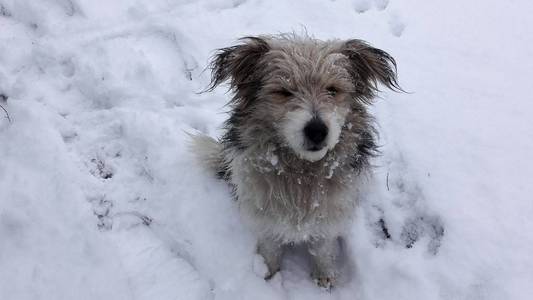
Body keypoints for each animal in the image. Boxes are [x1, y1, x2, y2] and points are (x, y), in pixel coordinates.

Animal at [191, 33, 400, 288]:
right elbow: (270, 248)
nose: (317, 131)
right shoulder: (264, 213)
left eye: (332, 89)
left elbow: (322, 247)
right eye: (284, 91)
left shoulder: (328, 214)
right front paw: (267, 275)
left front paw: (324, 274)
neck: (302, 172)